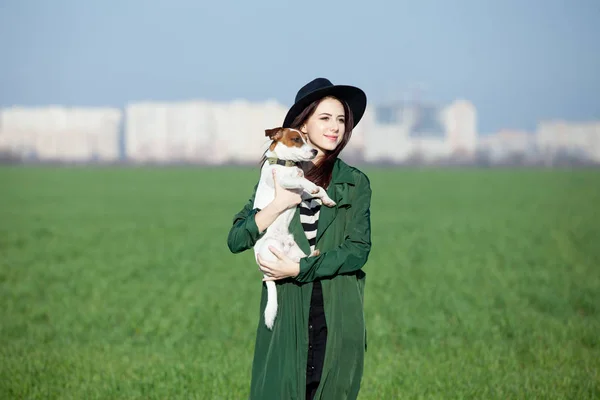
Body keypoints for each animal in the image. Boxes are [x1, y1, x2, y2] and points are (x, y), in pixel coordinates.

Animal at [253, 126, 338, 330]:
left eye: (306, 139)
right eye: (296, 139)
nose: (314, 151)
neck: (287, 165)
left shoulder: (301, 194)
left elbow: (318, 190)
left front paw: (327, 200)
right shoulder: (285, 182)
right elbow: (305, 182)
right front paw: (311, 185)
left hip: (295, 253)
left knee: (300, 262)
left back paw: (313, 254)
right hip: (270, 248)